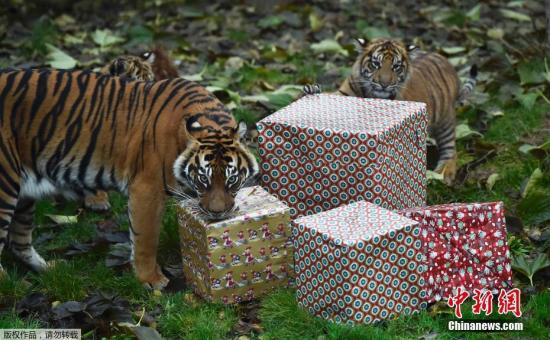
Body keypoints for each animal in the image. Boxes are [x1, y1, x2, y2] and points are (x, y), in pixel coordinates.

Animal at [0, 69, 258, 290]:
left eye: (232, 179)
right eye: (203, 179)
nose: (217, 214)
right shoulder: (146, 189)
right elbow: (145, 239)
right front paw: (150, 279)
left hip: (24, 196)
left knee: (19, 242)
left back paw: (49, 269)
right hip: (5, 186)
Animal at [302, 38, 478, 185]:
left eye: (396, 67)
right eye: (375, 64)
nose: (384, 84)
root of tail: (446, 61)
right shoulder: (343, 94)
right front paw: (311, 89)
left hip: (445, 120)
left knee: (451, 150)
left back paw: (443, 174)